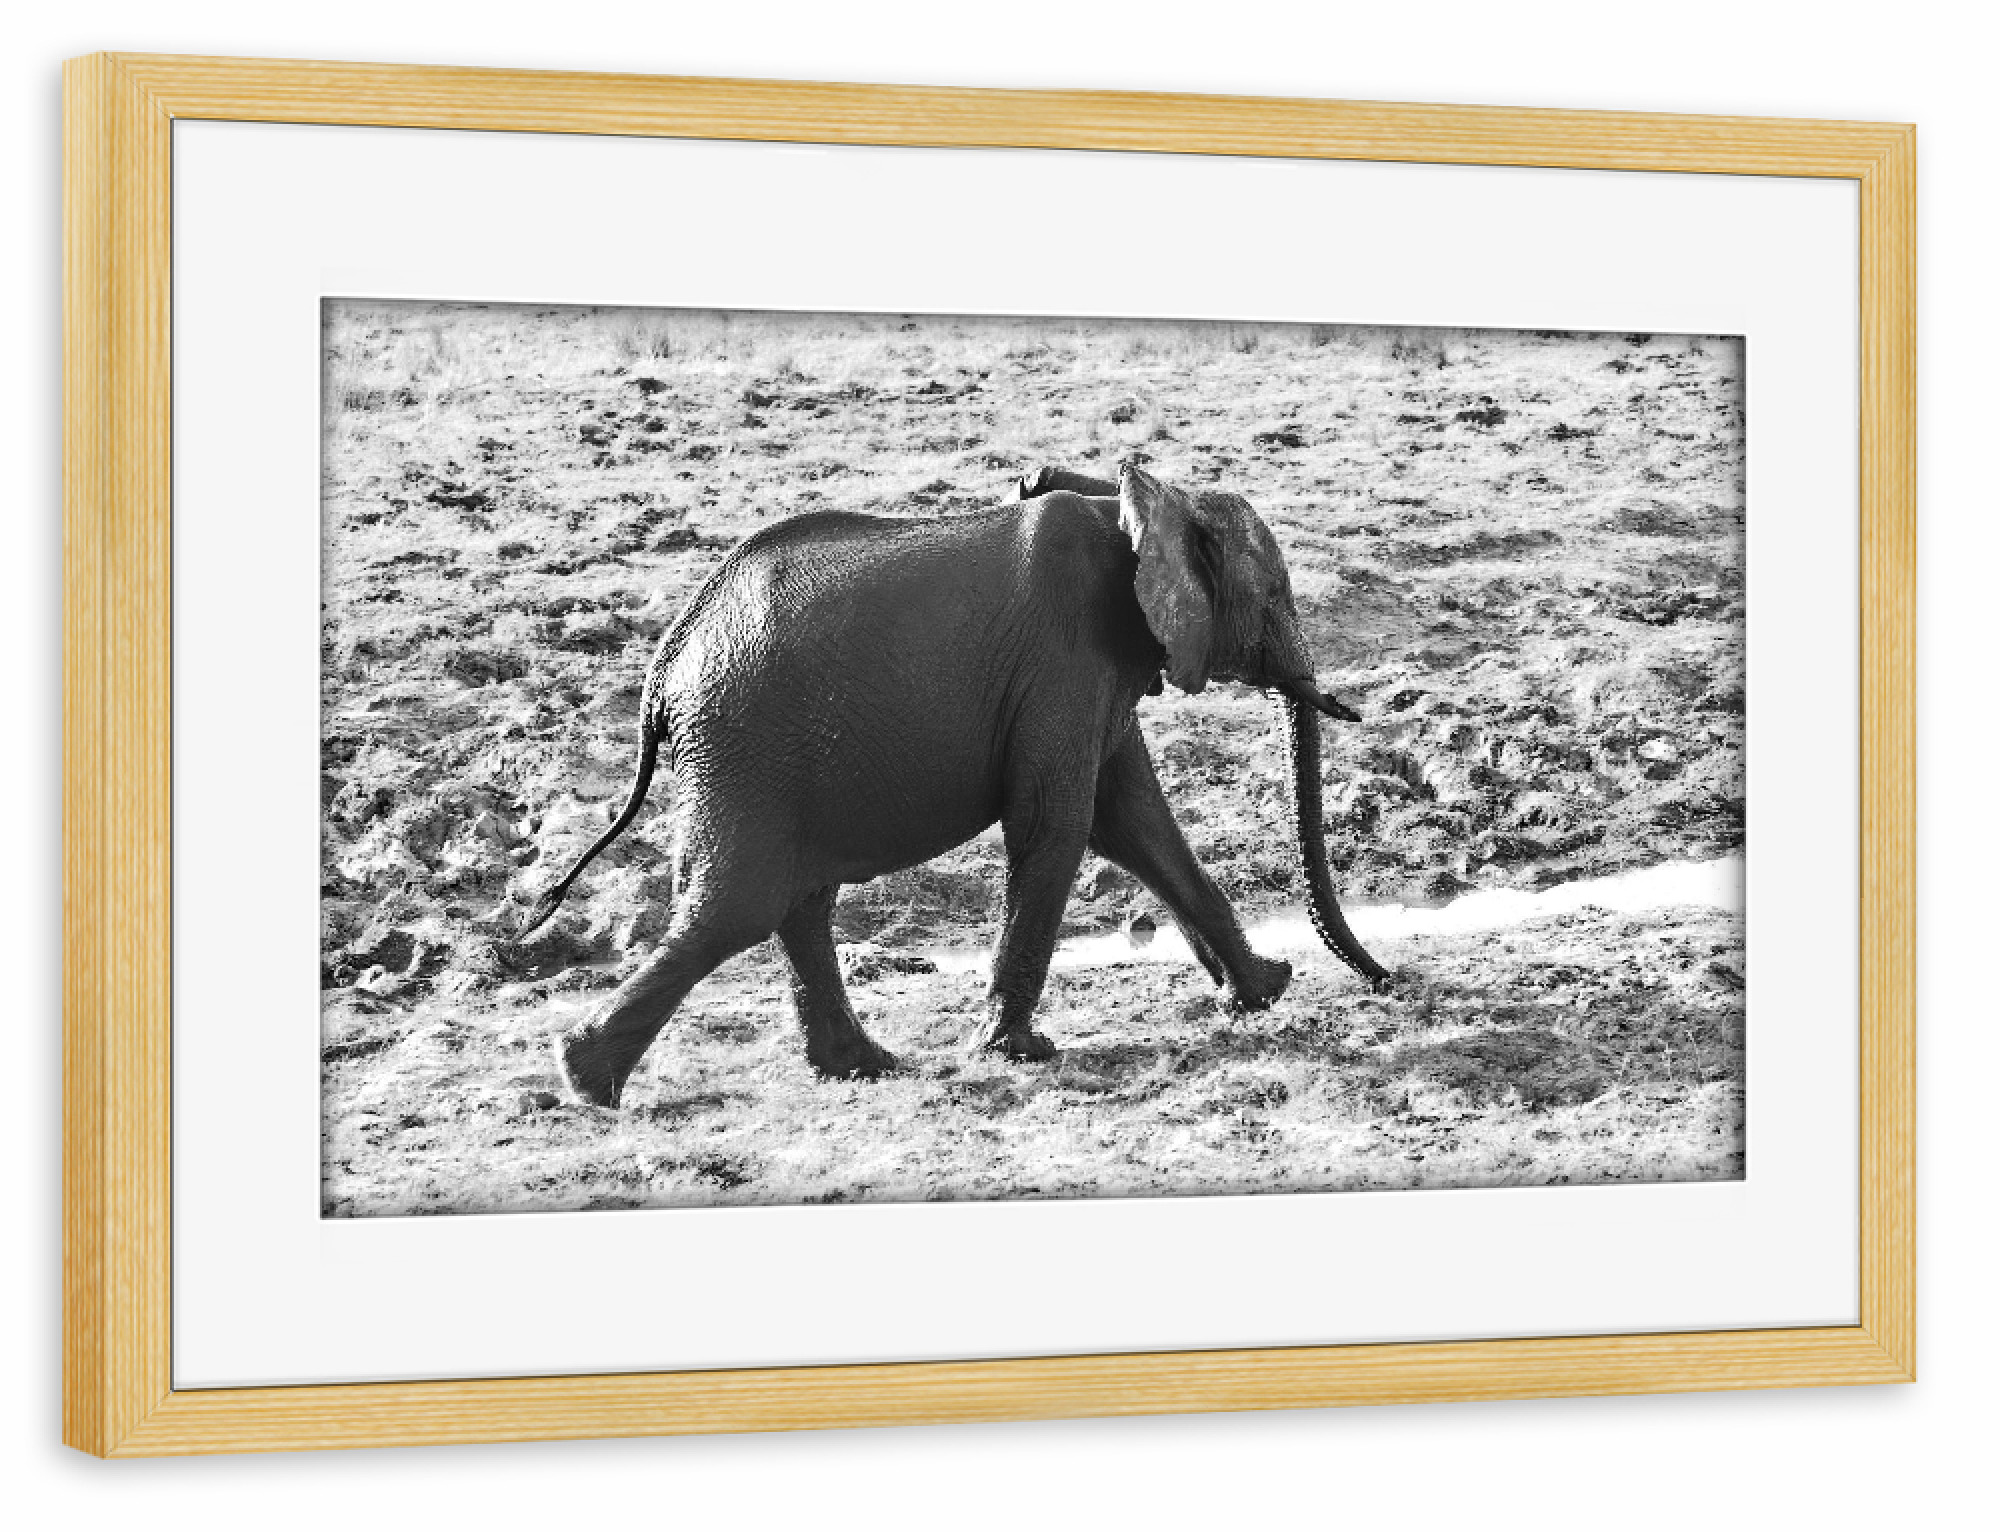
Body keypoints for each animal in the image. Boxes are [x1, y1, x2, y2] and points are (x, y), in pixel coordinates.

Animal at [522, 459, 1392, 1108]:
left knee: (793, 903)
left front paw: (1262, 992)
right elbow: (1059, 825)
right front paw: (1020, 1050)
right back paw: (585, 1080)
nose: (1389, 981)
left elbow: (1133, 821)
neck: (1139, 507)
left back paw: (862, 1067)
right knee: (739, 905)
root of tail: (662, 667)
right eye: (1275, 597)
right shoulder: (1065, 661)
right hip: (746, 750)